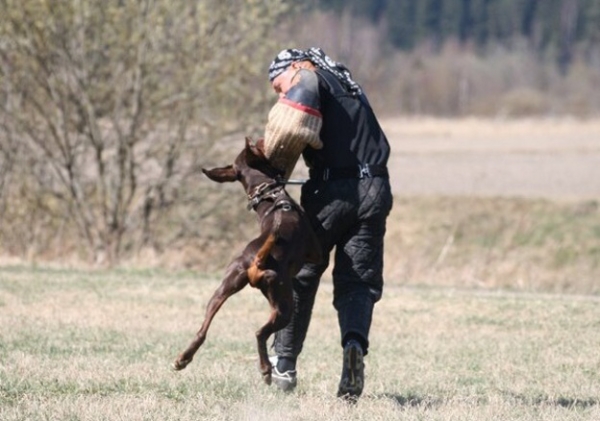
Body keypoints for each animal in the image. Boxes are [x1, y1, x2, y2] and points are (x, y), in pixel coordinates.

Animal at [171, 137, 322, 384]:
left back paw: (183, 359)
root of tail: (257, 261)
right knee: (260, 332)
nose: (260, 138)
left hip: (225, 288)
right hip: (284, 304)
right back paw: (266, 370)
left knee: (203, 329)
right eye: (258, 146)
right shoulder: (316, 253)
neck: (271, 195)